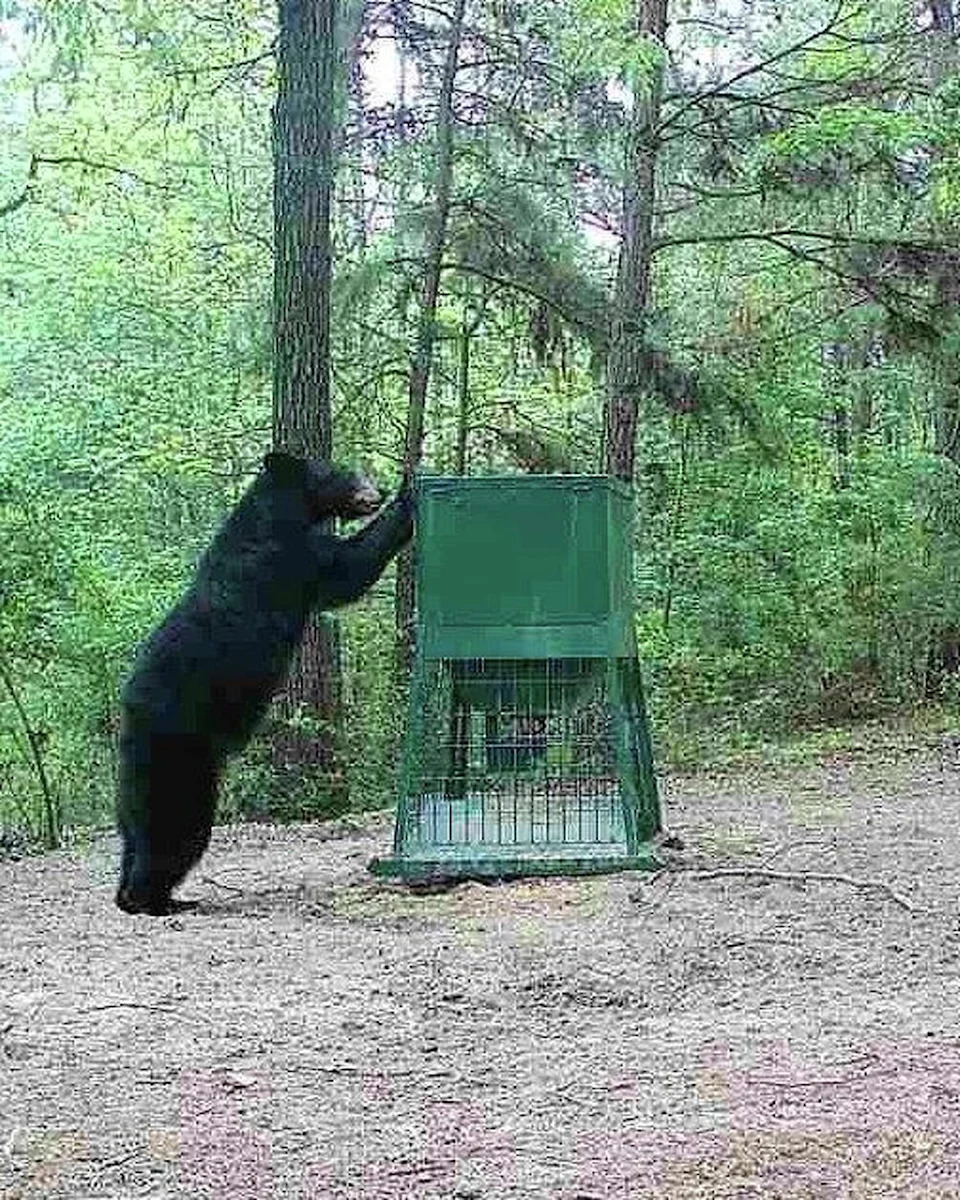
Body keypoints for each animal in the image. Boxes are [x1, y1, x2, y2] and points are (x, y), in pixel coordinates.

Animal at [115, 451, 414, 916]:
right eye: (338, 470)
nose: (377, 490)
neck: (278, 513)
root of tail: (130, 719)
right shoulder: (290, 558)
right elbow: (347, 570)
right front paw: (406, 496)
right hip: (177, 758)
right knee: (175, 831)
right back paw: (154, 900)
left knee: (134, 833)